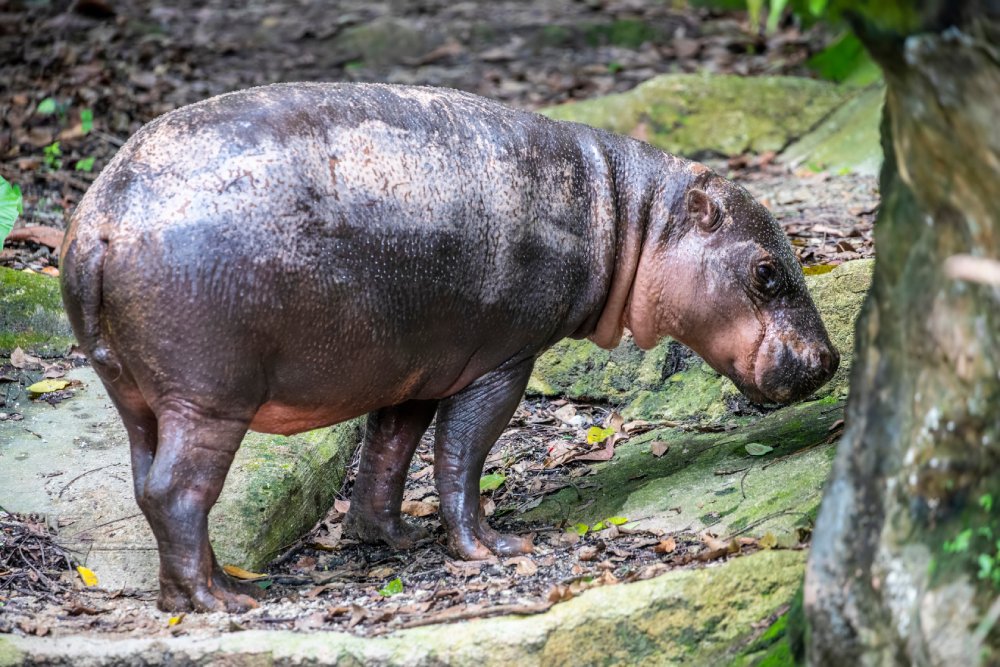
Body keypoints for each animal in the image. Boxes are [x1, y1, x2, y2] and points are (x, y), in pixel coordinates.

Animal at [60, 83, 838, 612]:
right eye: (767, 272)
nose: (831, 359)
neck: (632, 213)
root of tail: (100, 220)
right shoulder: (502, 359)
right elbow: (463, 452)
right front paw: (497, 550)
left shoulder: (416, 370)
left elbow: (389, 453)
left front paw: (392, 541)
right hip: (210, 397)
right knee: (177, 490)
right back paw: (224, 601)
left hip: (137, 395)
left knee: (146, 485)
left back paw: (199, 592)